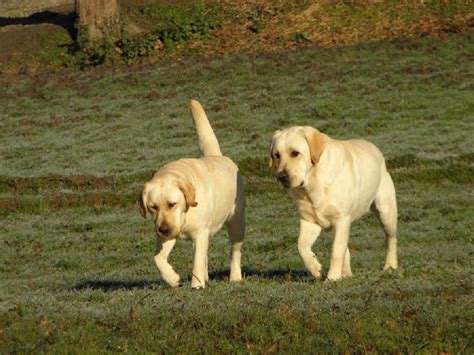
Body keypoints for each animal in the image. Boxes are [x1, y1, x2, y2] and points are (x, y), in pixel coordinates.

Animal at [138, 101, 244, 290]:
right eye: (153, 207)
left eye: (172, 203)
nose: (163, 229)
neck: (185, 214)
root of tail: (217, 156)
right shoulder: (169, 236)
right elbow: (158, 259)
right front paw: (172, 278)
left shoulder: (200, 234)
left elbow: (197, 262)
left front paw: (196, 286)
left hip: (236, 223)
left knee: (235, 251)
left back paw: (235, 277)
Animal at [270, 126, 396, 280]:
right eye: (276, 155)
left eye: (295, 153)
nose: (281, 177)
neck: (313, 184)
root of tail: (373, 147)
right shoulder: (310, 221)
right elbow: (301, 246)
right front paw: (316, 268)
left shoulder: (341, 219)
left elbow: (336, 251)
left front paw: (332, 278)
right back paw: (346, 273)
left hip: (386, 211)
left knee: (390, 239)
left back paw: (390, 266)